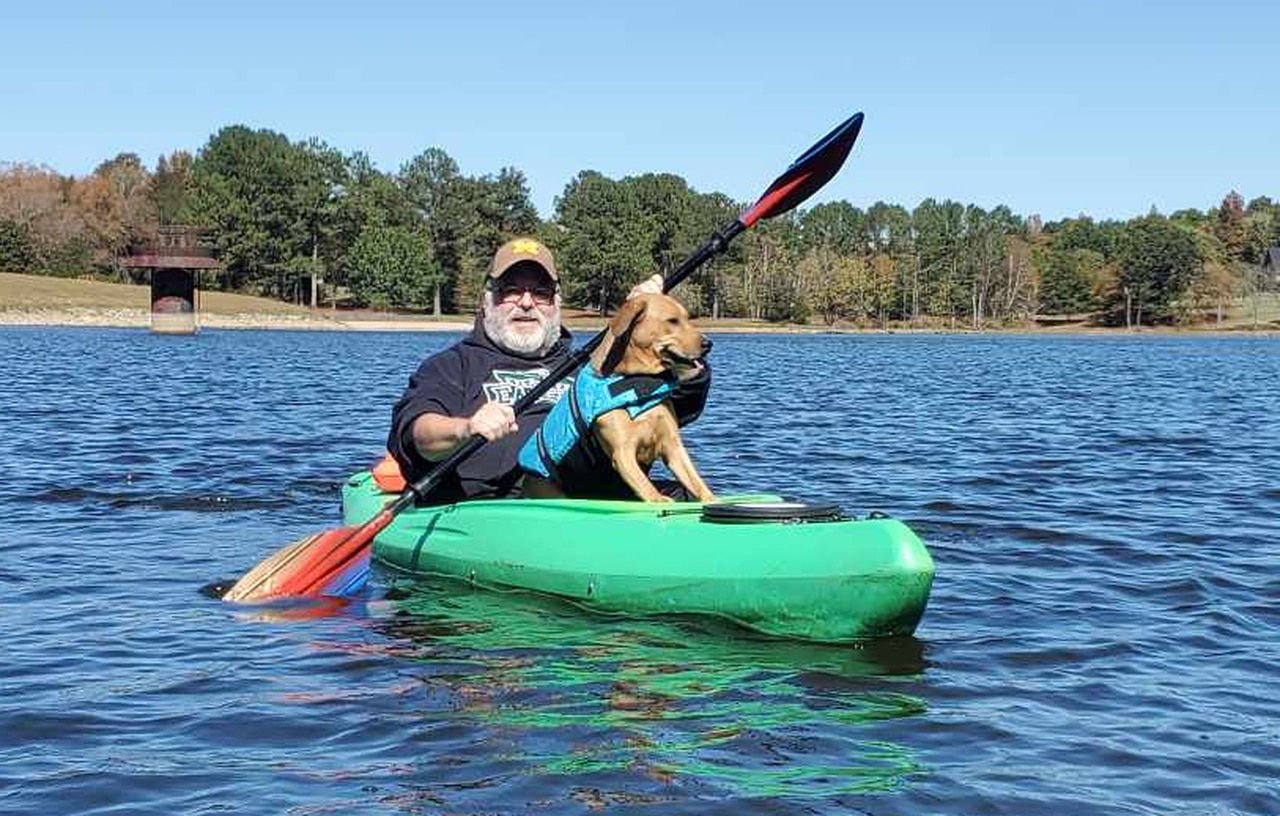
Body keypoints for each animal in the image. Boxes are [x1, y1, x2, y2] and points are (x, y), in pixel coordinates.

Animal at [519, 291, 721, 501]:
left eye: (687, 318)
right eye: (672, 321)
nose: (708, 344)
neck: (637, 382)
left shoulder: (672, 446)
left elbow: (696, 482)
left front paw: (711, 499)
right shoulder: (623, 453)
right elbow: (646, 487)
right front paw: (660, 499)